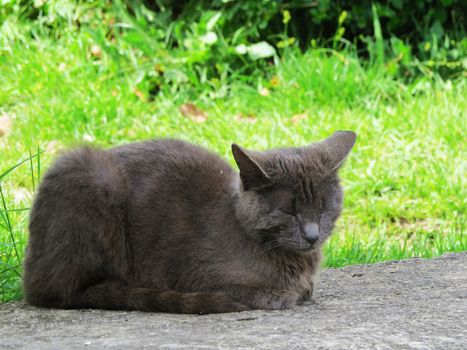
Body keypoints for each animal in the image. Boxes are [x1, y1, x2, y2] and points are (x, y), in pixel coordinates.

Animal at [23, 131, 356, 314]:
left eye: (324, 207)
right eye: (288, 210)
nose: (312, 235)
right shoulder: (191, 272)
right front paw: (279, 294)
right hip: (91, 178)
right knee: (68, 291)